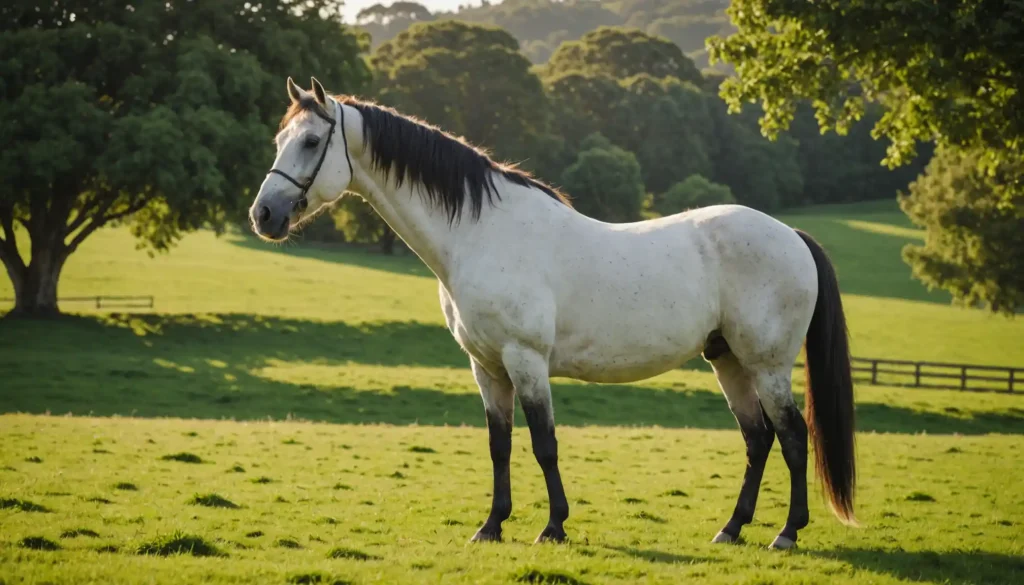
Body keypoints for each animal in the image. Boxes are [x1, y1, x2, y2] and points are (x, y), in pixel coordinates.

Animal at [248, 77, 857, 550]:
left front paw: (553, 527)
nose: (264, 214)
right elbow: (499, 445)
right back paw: (731, 529)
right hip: (727, 360)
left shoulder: (526, 360)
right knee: (758, 440)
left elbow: (544, 443)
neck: (482, 233)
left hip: (767, 365)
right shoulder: (487, 368)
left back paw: (786, 533)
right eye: (279, 139)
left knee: (793, 437)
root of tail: (791, 235)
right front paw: (491, 526)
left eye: (310, 140)